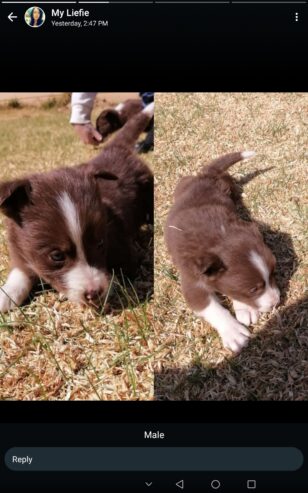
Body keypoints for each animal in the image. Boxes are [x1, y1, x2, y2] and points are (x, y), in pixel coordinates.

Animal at [0, 101, 154, 312]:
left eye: (100, 244)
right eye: (57, 256)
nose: (93, 293)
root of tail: (114, 149)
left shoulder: (126, 250)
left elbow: (121, 271)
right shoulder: (20, 250)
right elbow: (21, 272)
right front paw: (5, 296)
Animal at [165, 152, 280, 352]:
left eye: (273, 273)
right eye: (253, 289)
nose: (275, 303)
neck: (219, 235)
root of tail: (205, 175)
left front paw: (245, 309)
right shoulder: (191, 280)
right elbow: (210, 307)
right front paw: (234, 333)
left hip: (226, 182)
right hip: (182, 184)